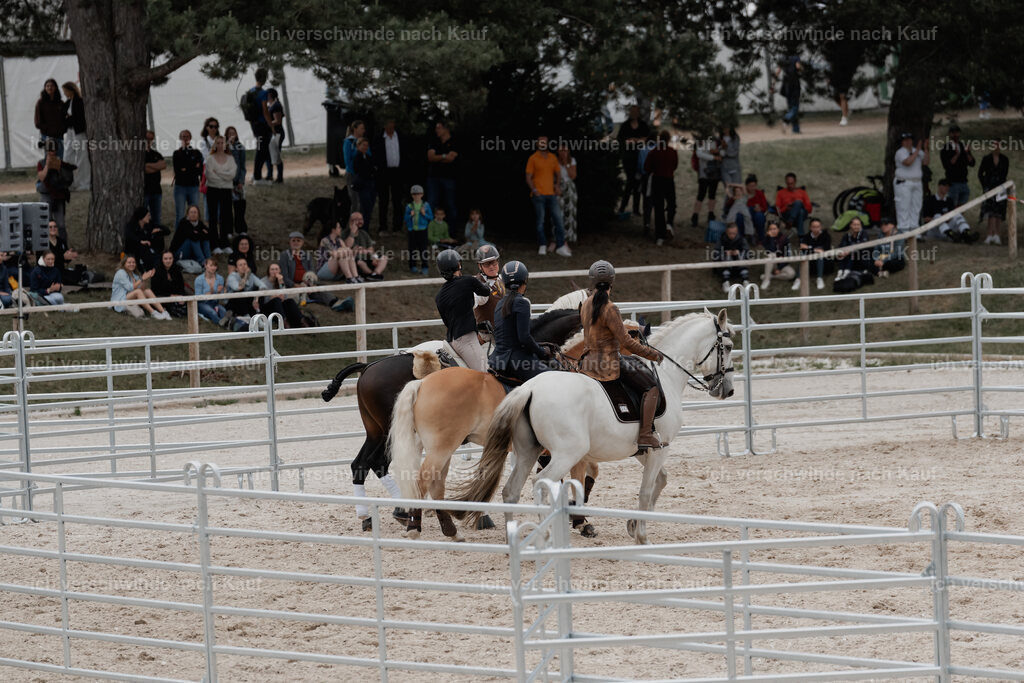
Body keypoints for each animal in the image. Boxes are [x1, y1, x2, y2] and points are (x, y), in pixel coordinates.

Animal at [387, 318, 646, 540]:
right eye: (635, 337)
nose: (644, 362)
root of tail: (422, 382)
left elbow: (585, 475)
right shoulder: (572, 450)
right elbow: (579, 479)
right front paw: (580, 521)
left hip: (439, 446)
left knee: (434, 483)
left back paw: (445, 527)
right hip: (442, 446)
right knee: (423, 480)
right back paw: (414, 526)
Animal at [450, 309, 735, 544]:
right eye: (730, 346)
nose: (728, 390)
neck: (665, 375)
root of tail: (529, 388)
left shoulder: (645, 449)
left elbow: (661, 481)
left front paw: (633, 525)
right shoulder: (660, 448)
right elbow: (645, 490)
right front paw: (641, 536)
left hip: (528, 451)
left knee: (511, 490)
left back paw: (515, 540)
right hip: (565, 453)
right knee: (540, 482)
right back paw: (544, 535)